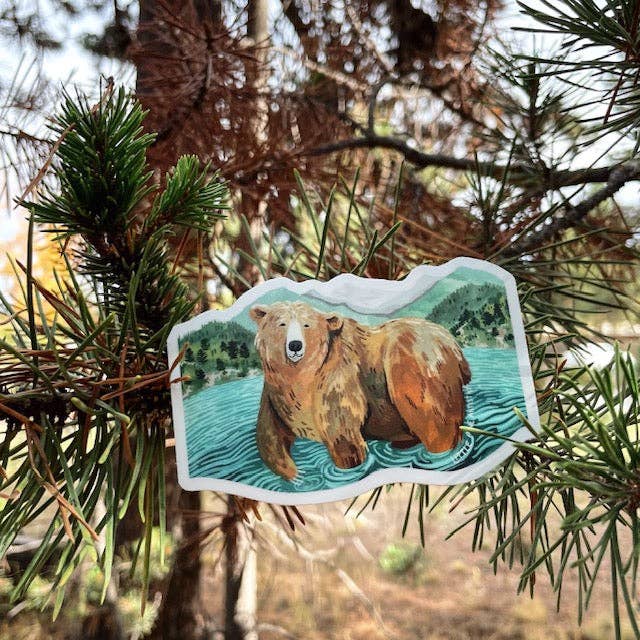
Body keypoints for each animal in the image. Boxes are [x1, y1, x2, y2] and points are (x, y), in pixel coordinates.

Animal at [249, 301, 471, 481]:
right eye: (281, 323)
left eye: (307, 324)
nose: (295, 345)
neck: (301, 380)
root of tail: (453, 345)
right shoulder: (275, 393)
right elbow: (270, 436)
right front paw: (297, 475)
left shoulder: (338, 378)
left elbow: (342, 435)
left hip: (413, 367)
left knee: (433, 421)